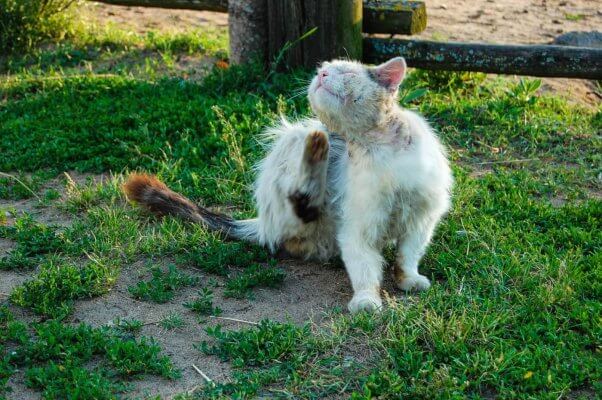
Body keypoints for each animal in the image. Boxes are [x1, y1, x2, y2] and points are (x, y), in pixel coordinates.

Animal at [123, 57, 450, 312]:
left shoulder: (422, 220)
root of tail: (262, 223)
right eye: (323, 69)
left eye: (346, 72)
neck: (377, 147)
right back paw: (316, 151)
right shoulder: (358, 228)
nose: (321, 75)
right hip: (294, 138)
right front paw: (367, 300)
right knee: (298, 205)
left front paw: (409, 279)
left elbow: (407, 256)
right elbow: (365, 268)